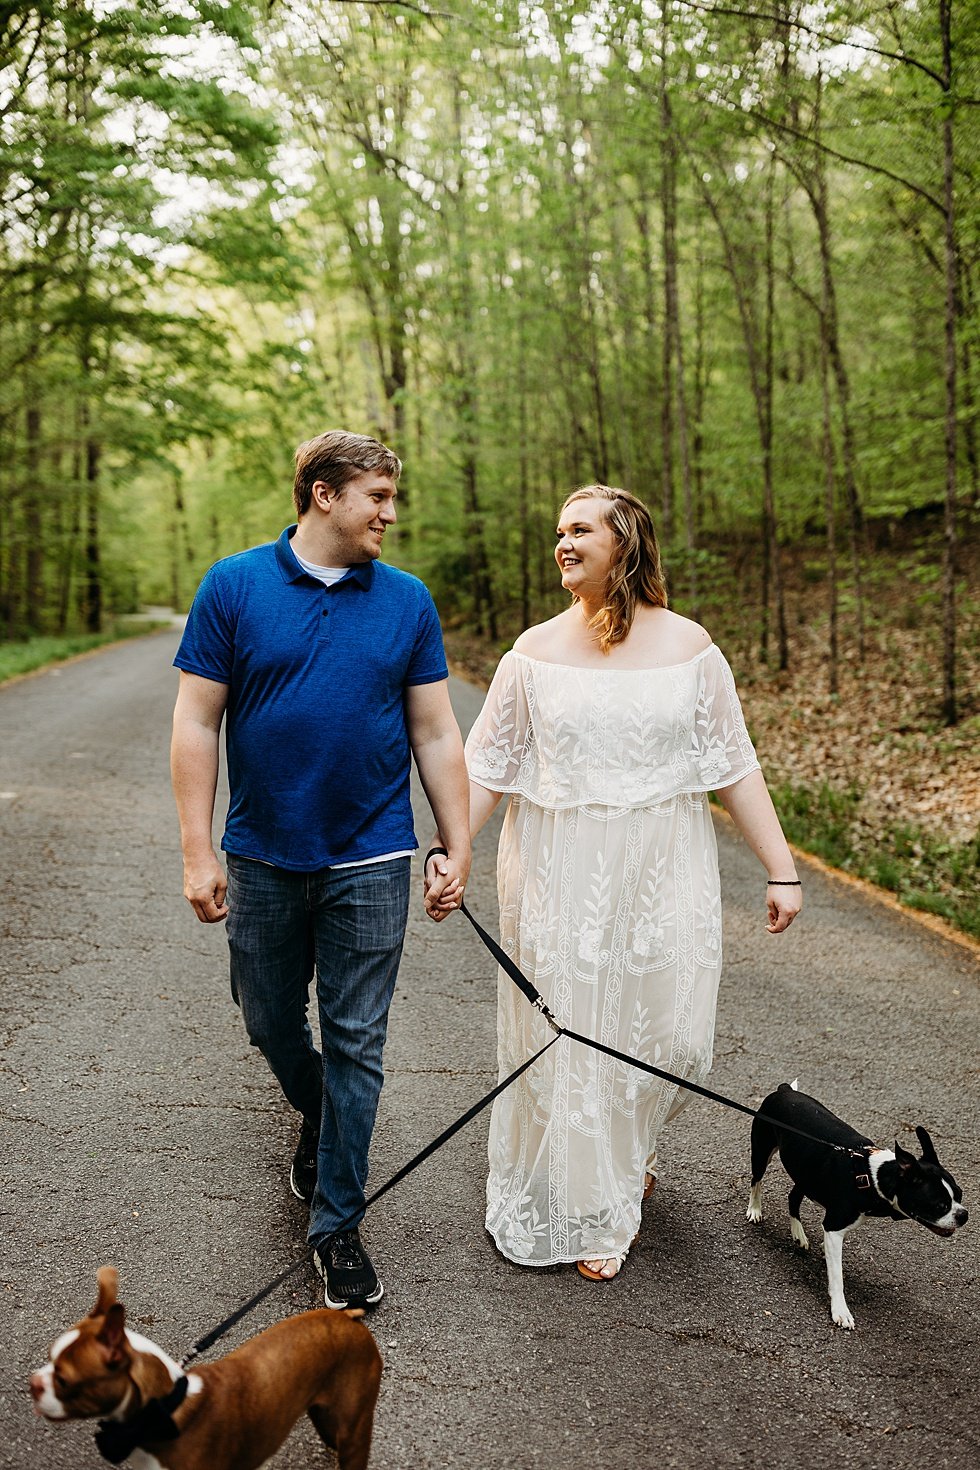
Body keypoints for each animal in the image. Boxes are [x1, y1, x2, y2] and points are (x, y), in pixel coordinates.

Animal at [30, 1264, 382, 1470]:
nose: (33, 1383)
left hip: (352, 1430)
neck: (162, 1412)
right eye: (49, 1358)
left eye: (63, 1379)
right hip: (323, 1416)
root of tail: (349, 1319)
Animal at [752, 1081, 963, 1334]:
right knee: (756, 1181)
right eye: (940, 1205)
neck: (871, 1177)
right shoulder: (834, 1227)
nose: (964, 1215)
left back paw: (798, 1233)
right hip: (762, 1152)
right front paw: (840, 1310)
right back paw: (755, 1210)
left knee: (793, 1197)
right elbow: (837, 1276)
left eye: (960, 1195)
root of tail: (784, 1090)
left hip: (806, 1174)